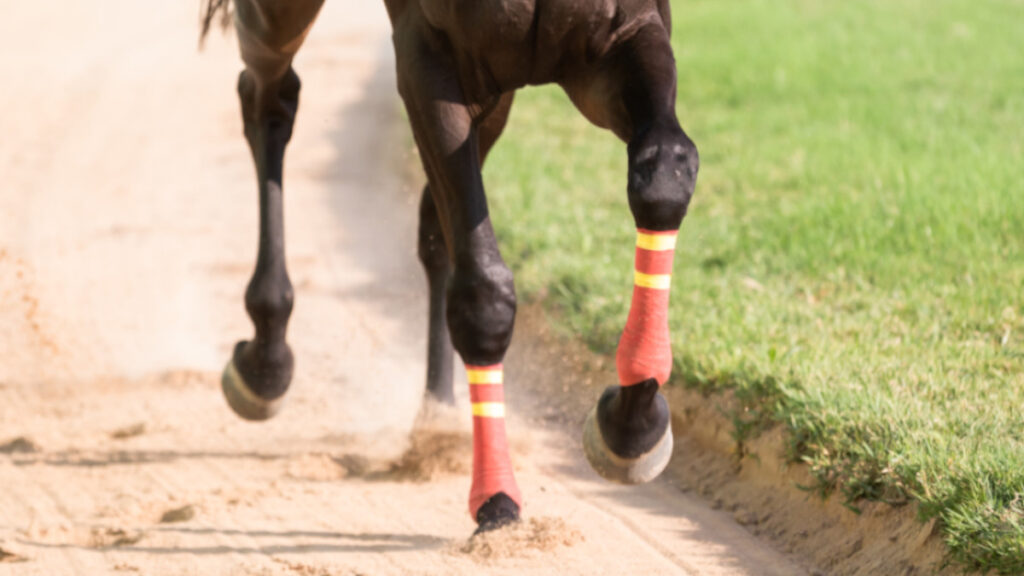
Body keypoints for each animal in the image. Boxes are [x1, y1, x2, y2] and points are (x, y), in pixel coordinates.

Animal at [203, 0, 699, 532]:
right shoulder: (430, 56)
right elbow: (483, 290)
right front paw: (497, 497)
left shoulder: (618, 37)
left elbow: (665, 171)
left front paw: (631, 427)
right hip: (288, 21)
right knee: (269, 98)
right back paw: (264, 360)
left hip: (496, 95)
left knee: (435, 229)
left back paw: (437, 416)